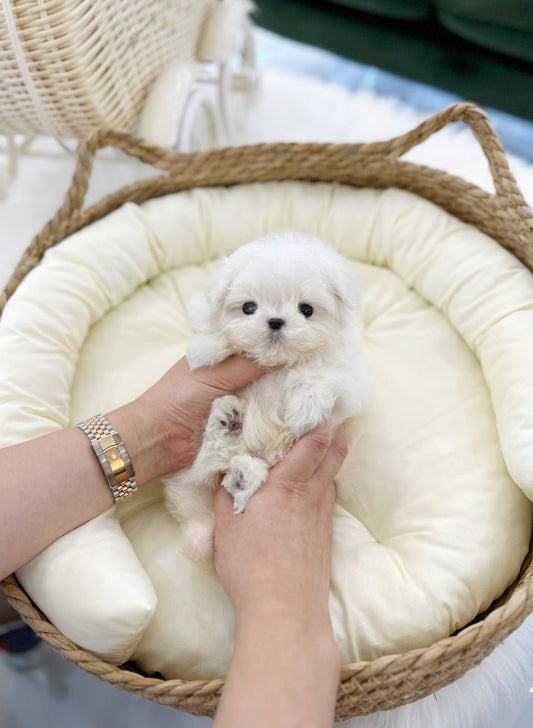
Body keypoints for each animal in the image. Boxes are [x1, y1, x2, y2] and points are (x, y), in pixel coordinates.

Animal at [162, 230, 370, 560]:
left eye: (307, 309)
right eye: (248, 307)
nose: (275, 321)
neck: (277, 362)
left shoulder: (352, 380)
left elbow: (319, 372)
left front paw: (306, 407)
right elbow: (217, 334)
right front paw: (207, 348)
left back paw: (241, 473)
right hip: (190, 477)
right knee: (194, 504)